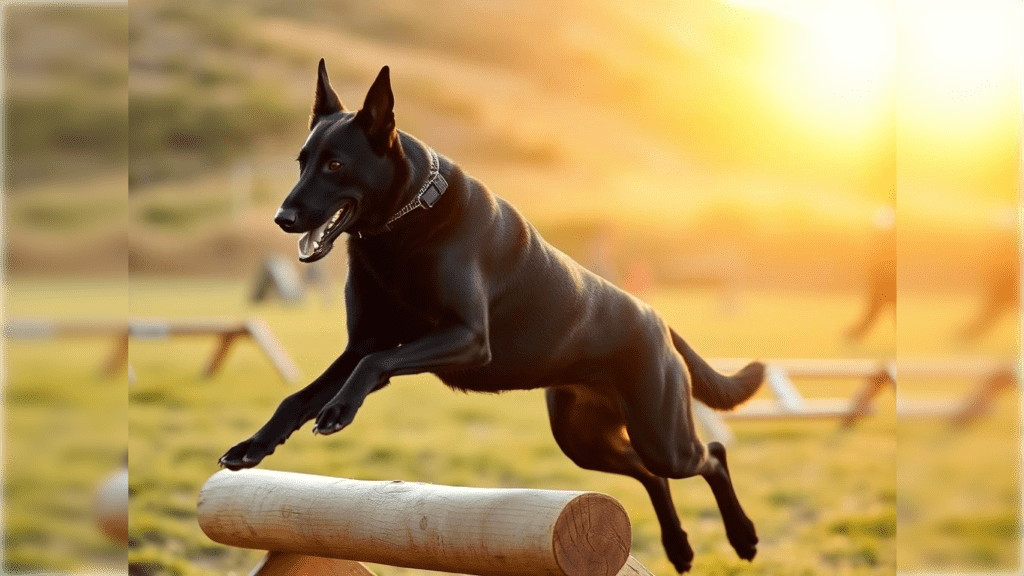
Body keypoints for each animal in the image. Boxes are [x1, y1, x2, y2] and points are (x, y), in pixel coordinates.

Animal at [220, 60, 765, 569]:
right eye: (302, 162)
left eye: (334, 164)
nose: (283, 219)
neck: (405, 221)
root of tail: (657, 320)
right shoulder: (364, 346)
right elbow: (297, 397)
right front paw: (253, 446)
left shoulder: (463, 338)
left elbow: (367, 369)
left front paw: (335, 411)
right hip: (585, 439)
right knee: (653, 475)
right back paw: (679, 548)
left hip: (659, 432)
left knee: (711, 457)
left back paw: (742, 536)